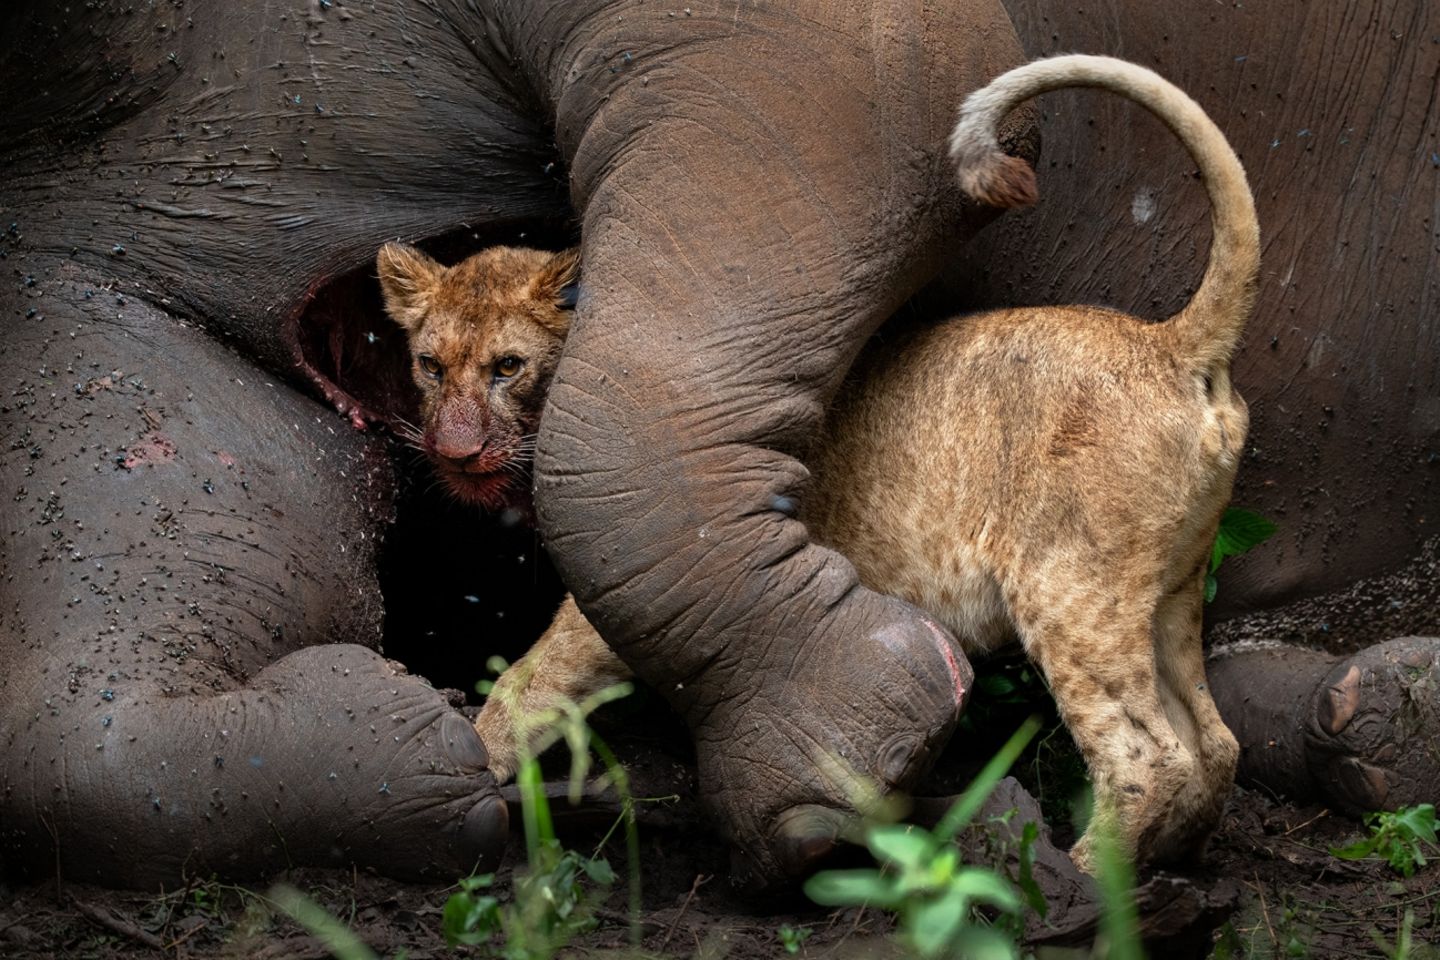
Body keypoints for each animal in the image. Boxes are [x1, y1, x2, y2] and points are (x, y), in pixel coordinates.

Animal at [1, 0, 1435, 896]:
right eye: (427, 366)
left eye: (510, 371)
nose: (456, 446)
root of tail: (1175, 338)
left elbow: (539, 674)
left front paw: (476, 764)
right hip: (1163, 595)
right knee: (1211, 746)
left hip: (1071, 594)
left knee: (1150, 753)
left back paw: (1078, 890)